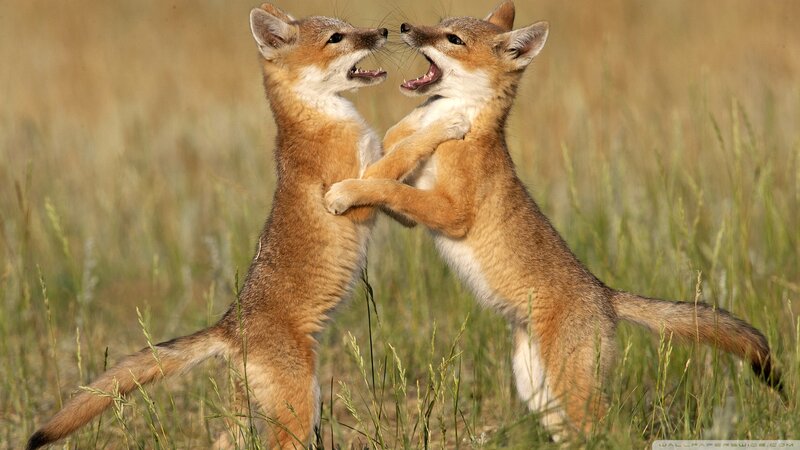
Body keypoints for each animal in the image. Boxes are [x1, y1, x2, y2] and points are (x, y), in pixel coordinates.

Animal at [26, 4, 467, 449]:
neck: (322, 120)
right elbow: (401, 153)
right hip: (301, 409)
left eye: (347, 27)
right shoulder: (349, 194)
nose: (382, 32)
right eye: (336, 38)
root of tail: (228, 328)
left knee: (224, 440)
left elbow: (399, 174)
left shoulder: (377, 195)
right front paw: (446, 125)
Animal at [324, 0, 783, 440]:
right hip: (539, 394)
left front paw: (345, 191)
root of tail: (605, 294)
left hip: (570, 393)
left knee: (616, 433)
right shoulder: (415, 210)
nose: (404, 28)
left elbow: (391, 185)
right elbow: (391, 167)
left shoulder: (452, 212)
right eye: (439, 25)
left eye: (453, 39)